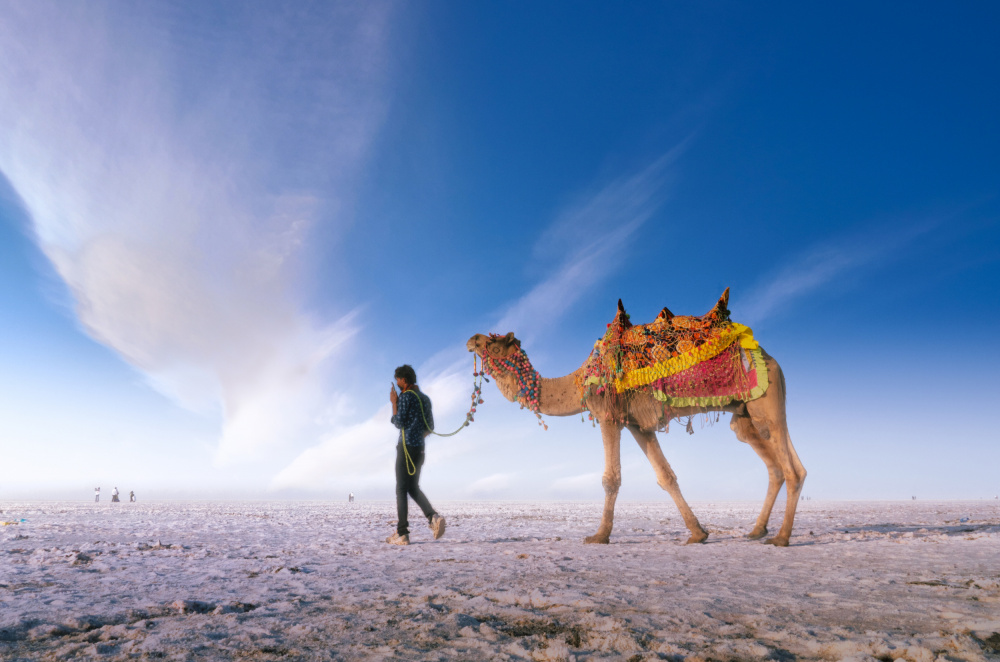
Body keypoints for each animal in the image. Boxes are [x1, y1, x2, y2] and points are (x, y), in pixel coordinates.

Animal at [466, 290, 806, 546]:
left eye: (494, 342)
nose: (471, 338)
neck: (580, 381)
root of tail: (771, 359)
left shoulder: (609, 415)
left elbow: (611, 479)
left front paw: (599, 536)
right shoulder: (636, 424)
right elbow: (666, 476)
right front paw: (698, 533)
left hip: (764, 401)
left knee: (790, 469)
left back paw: (781, 538)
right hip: (746, 414)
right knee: (780, 465)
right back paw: (757, 530)